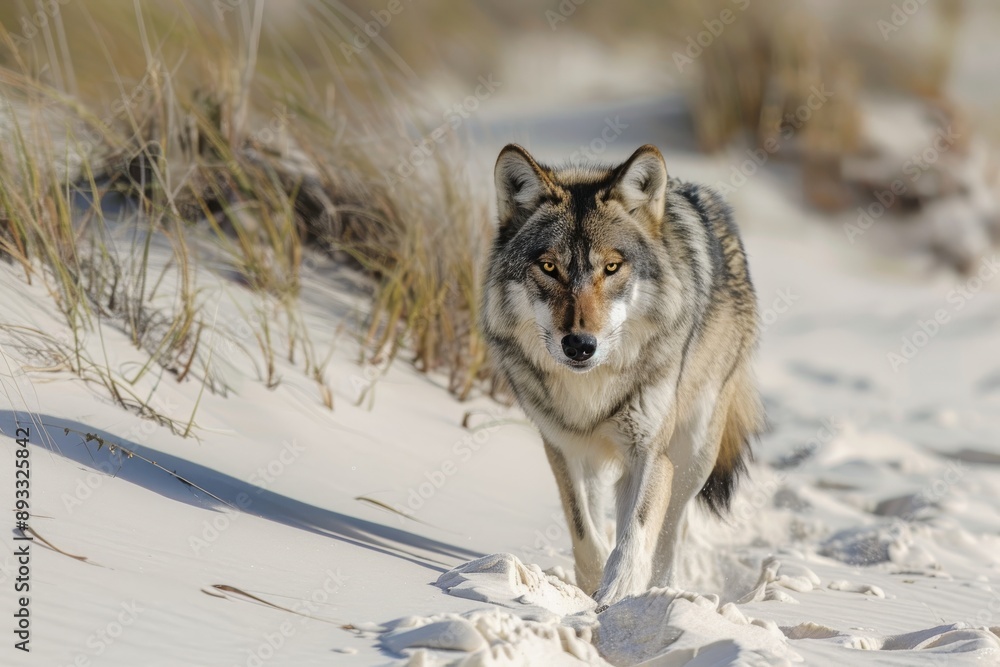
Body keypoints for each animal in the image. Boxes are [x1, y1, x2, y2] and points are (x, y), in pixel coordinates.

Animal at [480, 144, 764, 608]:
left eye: (612, 267)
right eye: (549, 267)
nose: (580, 345)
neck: (590, 392)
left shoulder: (651, 454)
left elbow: (635, 535)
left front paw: (617, 595)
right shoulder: (563, 448)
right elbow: (585, 534)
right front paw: (590, 591)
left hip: (693, 454)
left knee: (672, 531)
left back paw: (663, 590)